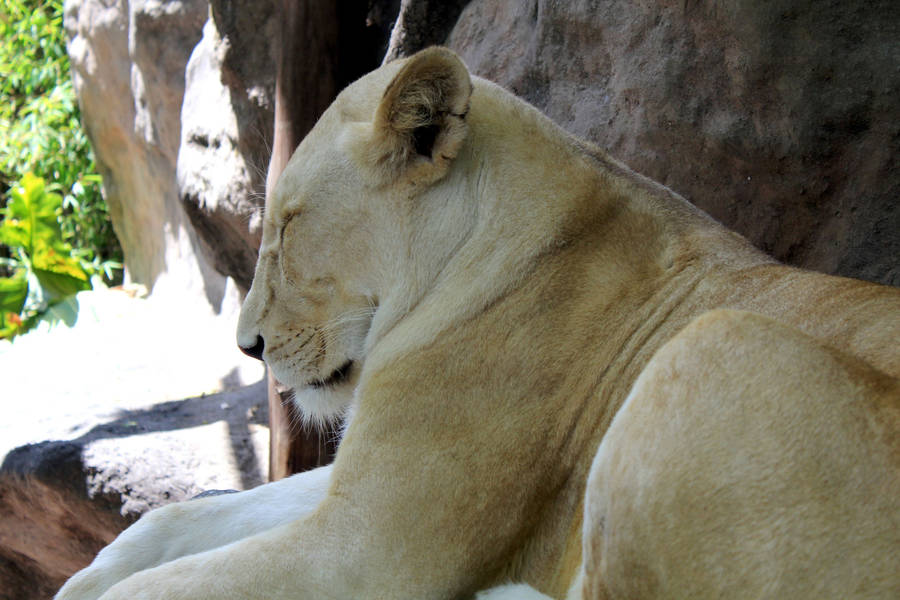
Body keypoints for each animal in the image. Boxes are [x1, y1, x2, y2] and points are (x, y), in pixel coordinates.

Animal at [56, 47, 899, 600]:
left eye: (290, 227)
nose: (248, 348)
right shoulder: (358, 486)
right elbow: (186, 520)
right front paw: (86, 579)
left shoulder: (368, 551)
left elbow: (167, 587)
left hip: (718, 344)